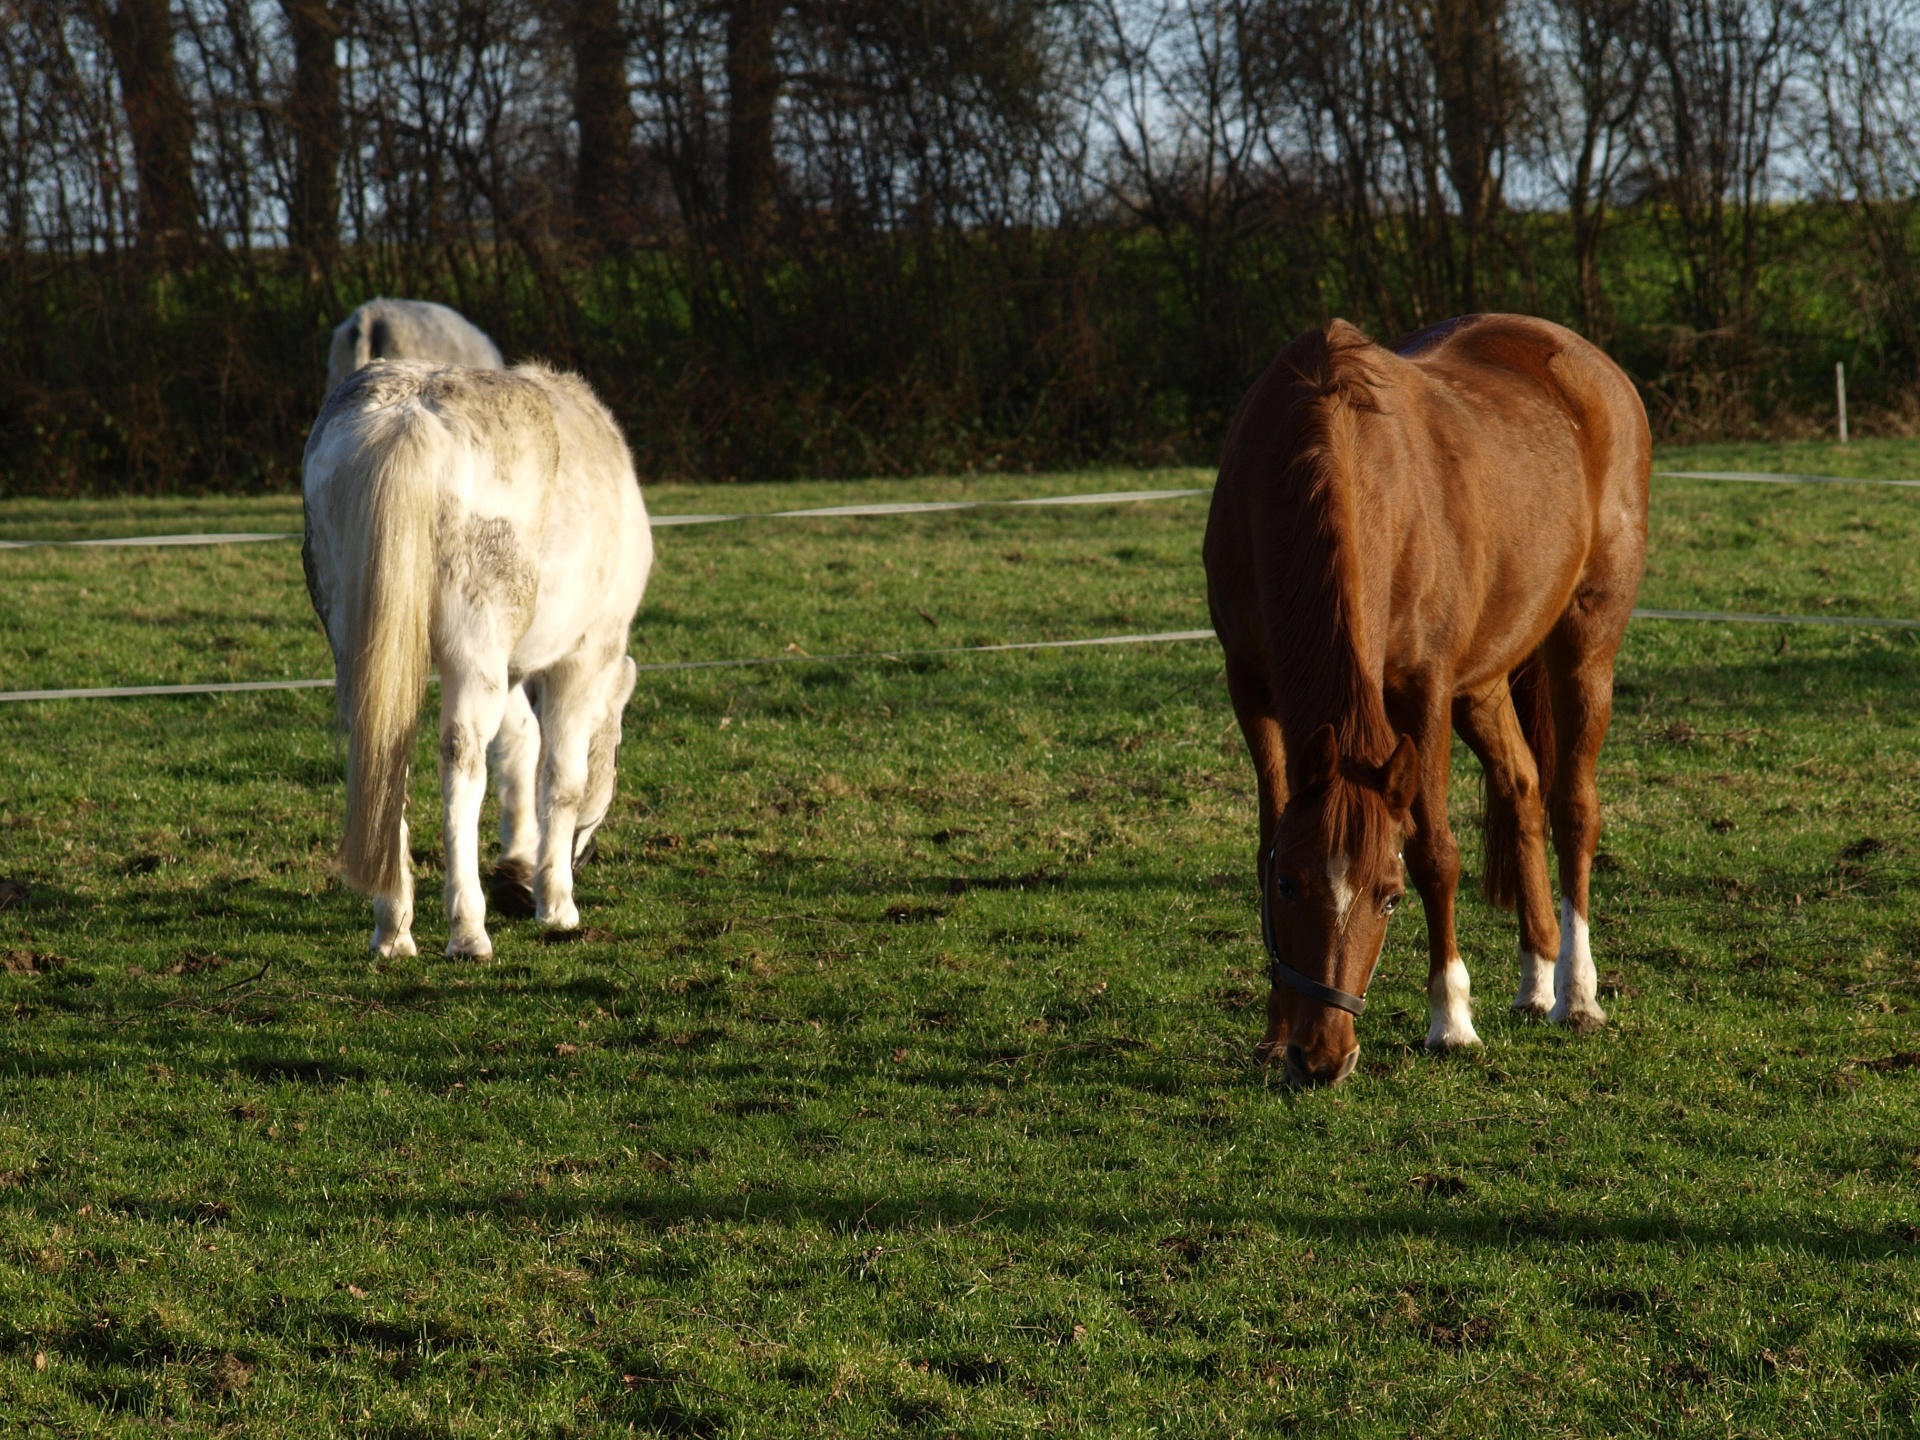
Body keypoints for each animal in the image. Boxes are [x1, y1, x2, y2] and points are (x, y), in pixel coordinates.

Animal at [299, 362, 652, 960]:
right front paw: (556, 904)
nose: (584, 854)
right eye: (620, 751)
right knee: (461, 762)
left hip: (366, 646)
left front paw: (519, 862)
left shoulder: (508, 672)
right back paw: (468, 928)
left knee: (384, 750)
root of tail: (408, 415)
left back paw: (393, 927)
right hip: (474, 647)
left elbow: (520, 748)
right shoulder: (583, 660)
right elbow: (562, 778)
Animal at [1213, 312, 1651, 1082]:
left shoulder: (1423, 689)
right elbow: (1268, 835)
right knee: (1522, 787)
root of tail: (1589, 362)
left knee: (1573, 806)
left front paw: (1450, 1021)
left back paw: (1577, 995)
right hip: (1482, 681)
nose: (1322, 1057)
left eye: (1388, 898)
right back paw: (1537, 978)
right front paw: (1271, 1035)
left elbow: (1435, 853)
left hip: (1585, 639)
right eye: (1289, 886)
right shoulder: (1251, 685)